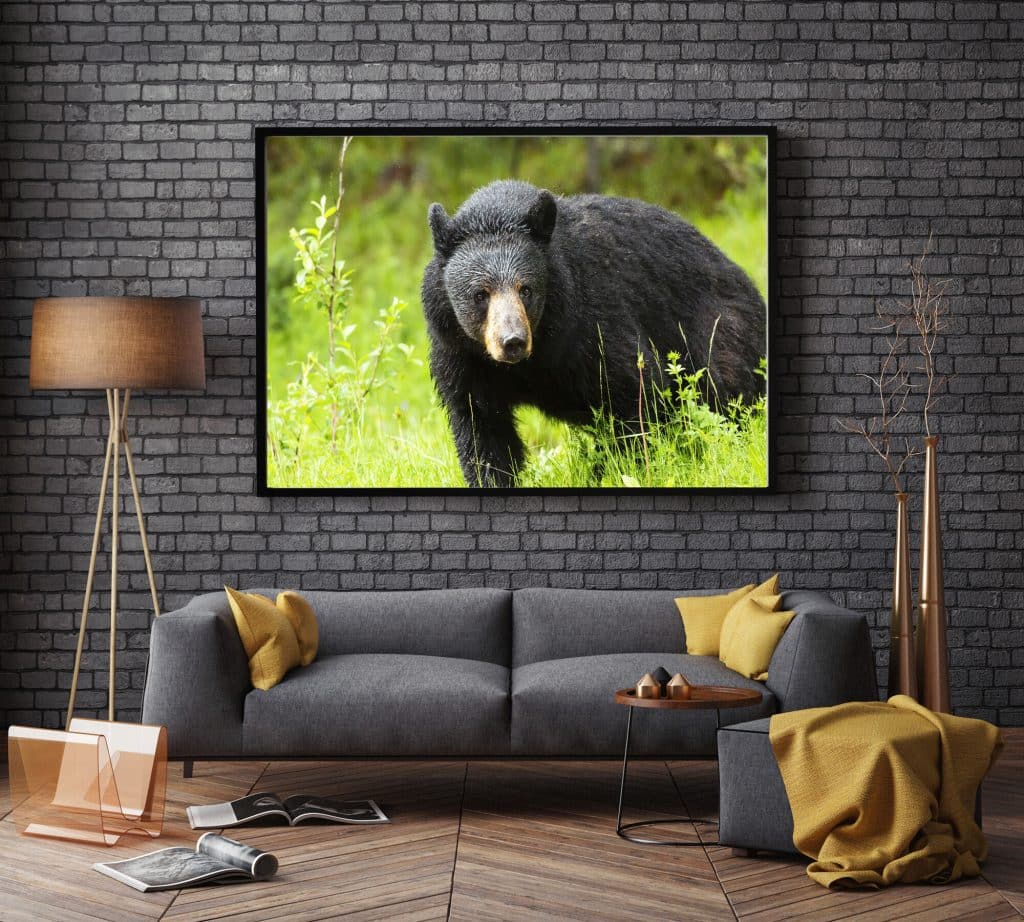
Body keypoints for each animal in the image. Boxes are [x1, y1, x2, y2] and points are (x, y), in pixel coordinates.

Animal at [421, 179, 766, 488]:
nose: (513, 342)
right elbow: (482, 427)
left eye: (526, 289)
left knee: (723, 391)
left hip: (722, 331)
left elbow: (635, 388)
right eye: (481, 294)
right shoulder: (461, 355)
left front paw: (618, 469)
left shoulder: (591, 322)